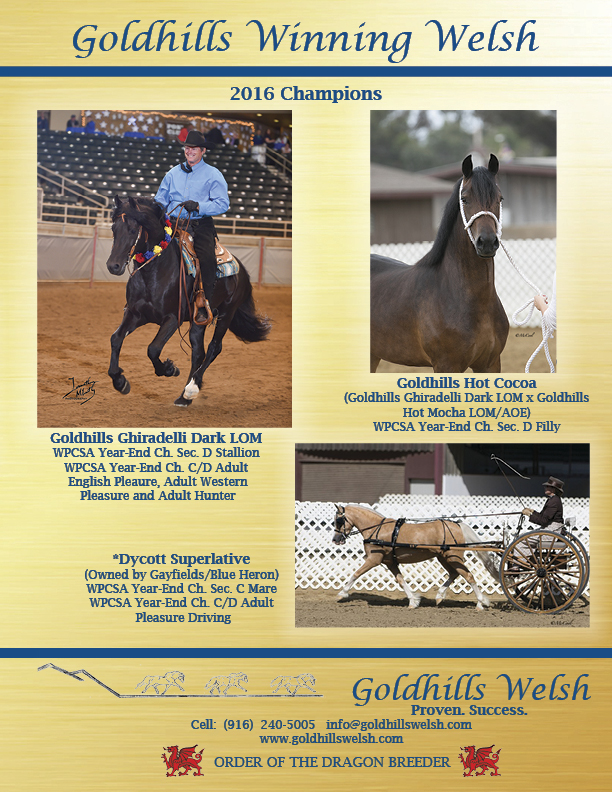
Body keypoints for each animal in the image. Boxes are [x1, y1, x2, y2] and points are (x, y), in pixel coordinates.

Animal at [106, 196, 270, 407]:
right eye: (113, 228)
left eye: (133, 230)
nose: (113, 266)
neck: (155, 271)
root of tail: (241, 269)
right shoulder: (135, 314)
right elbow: (116, 338)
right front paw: (119, 381)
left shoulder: (172, 318)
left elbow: (153, 348)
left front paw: (169, 369)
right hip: (198, 322)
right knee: (198, 352)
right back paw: (184, 397)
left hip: (227, 313)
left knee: (214, 348)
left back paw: (192, 388)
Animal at [332, 504, 498, 610]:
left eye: (338, 521)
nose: (335, 539)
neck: (377, 529)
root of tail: (457, 525)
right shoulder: (390, 562)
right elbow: (400, 580)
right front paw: (413, 601)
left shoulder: (374, 559)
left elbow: (356, 574)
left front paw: (341, 594)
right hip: (444, 558)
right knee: (454, 574)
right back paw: (439, 596)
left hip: (453, 558)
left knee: (468, 576)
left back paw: (480, 604)